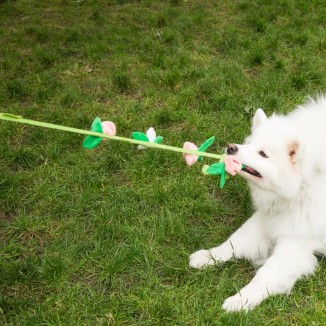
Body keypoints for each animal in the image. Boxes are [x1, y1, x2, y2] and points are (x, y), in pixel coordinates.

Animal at [190, 95, 326, 312]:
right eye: (249, 143)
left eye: (263, 154)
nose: (231, 147)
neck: (303, 187)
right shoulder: (267, 219)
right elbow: (234, 242)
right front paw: (209, 256)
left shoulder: (296, 242)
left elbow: (264, 276)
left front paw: (240, 301)